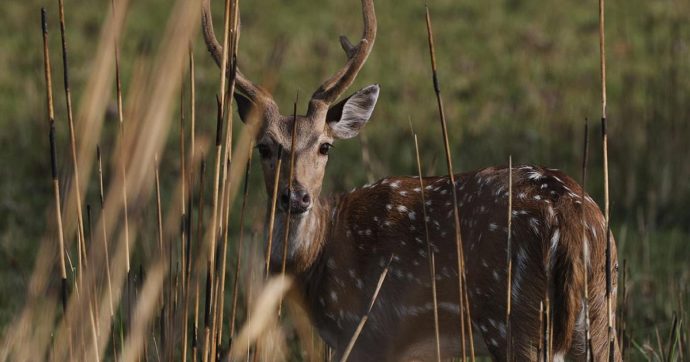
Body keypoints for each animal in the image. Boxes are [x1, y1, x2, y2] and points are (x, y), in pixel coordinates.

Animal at [199, 0, 620, 360]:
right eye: (265, 148)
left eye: (324, 146)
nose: (296, 196)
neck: (319, 257)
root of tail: (570, 217)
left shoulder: (368, 332)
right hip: (599, 313)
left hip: (515, 316)